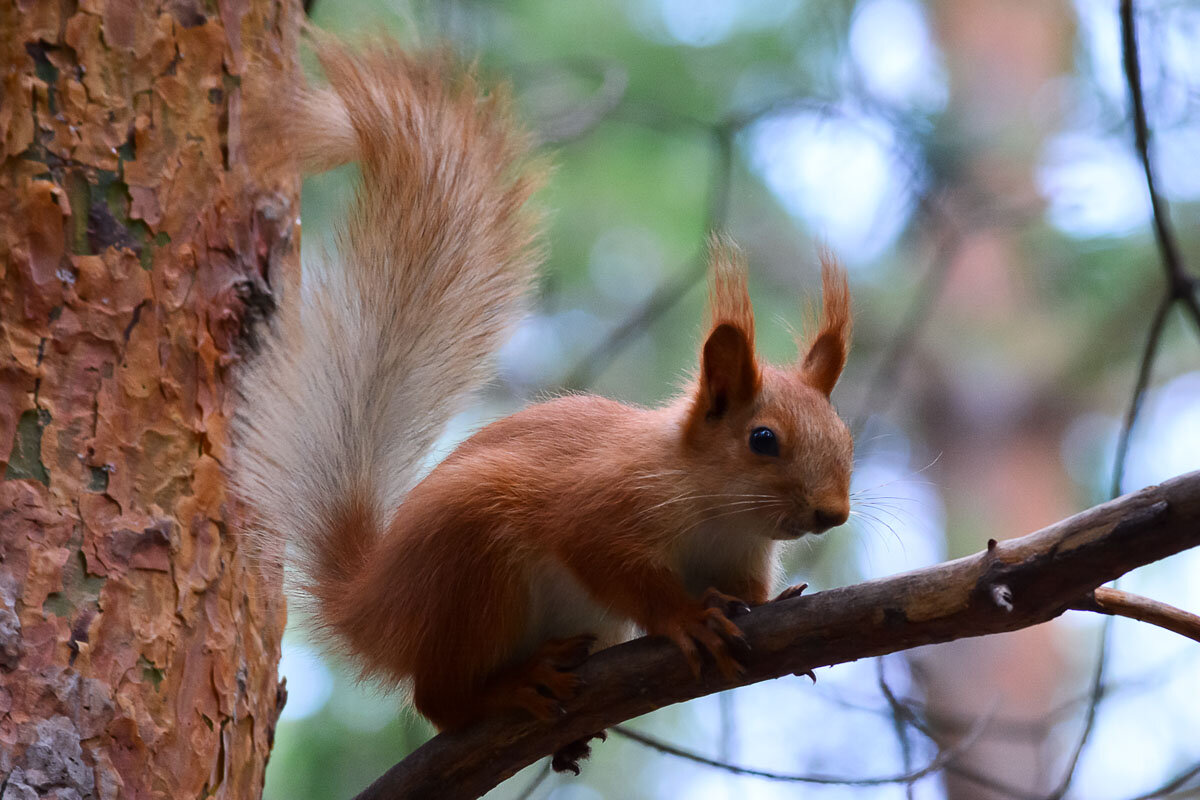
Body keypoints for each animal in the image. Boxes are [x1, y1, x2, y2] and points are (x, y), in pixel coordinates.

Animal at [231, 38, 854, 743]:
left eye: (845, 435)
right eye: (762, 439)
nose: (834, 513)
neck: (720, 509)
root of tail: (373, 608)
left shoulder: (741, 556)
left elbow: (746, 593)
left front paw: (771, 604)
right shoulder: (604, 502)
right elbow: (611, 563)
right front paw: (689, 618)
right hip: (474, 565)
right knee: (437, 700)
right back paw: (507, 687)